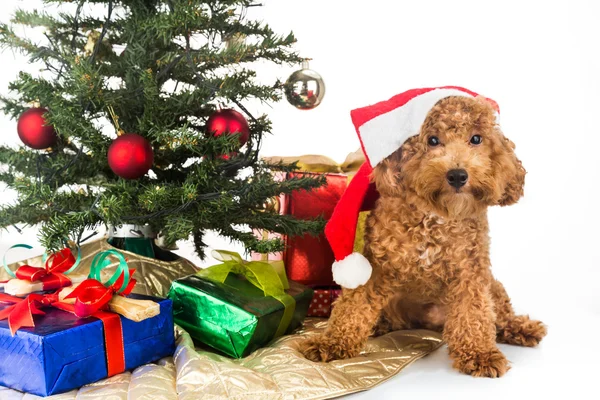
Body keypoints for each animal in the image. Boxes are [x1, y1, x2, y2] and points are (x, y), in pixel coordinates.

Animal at [298, 95, 544, 376]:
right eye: (433, 140)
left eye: (476, 138)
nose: (457, 175)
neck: (434, 216)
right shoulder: (377, 266)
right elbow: (354, 304)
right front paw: (332, 342)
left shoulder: (470, 271)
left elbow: (474, 312)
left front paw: (479, 353)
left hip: (492, 285)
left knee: (498, 315)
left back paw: (520, 328)